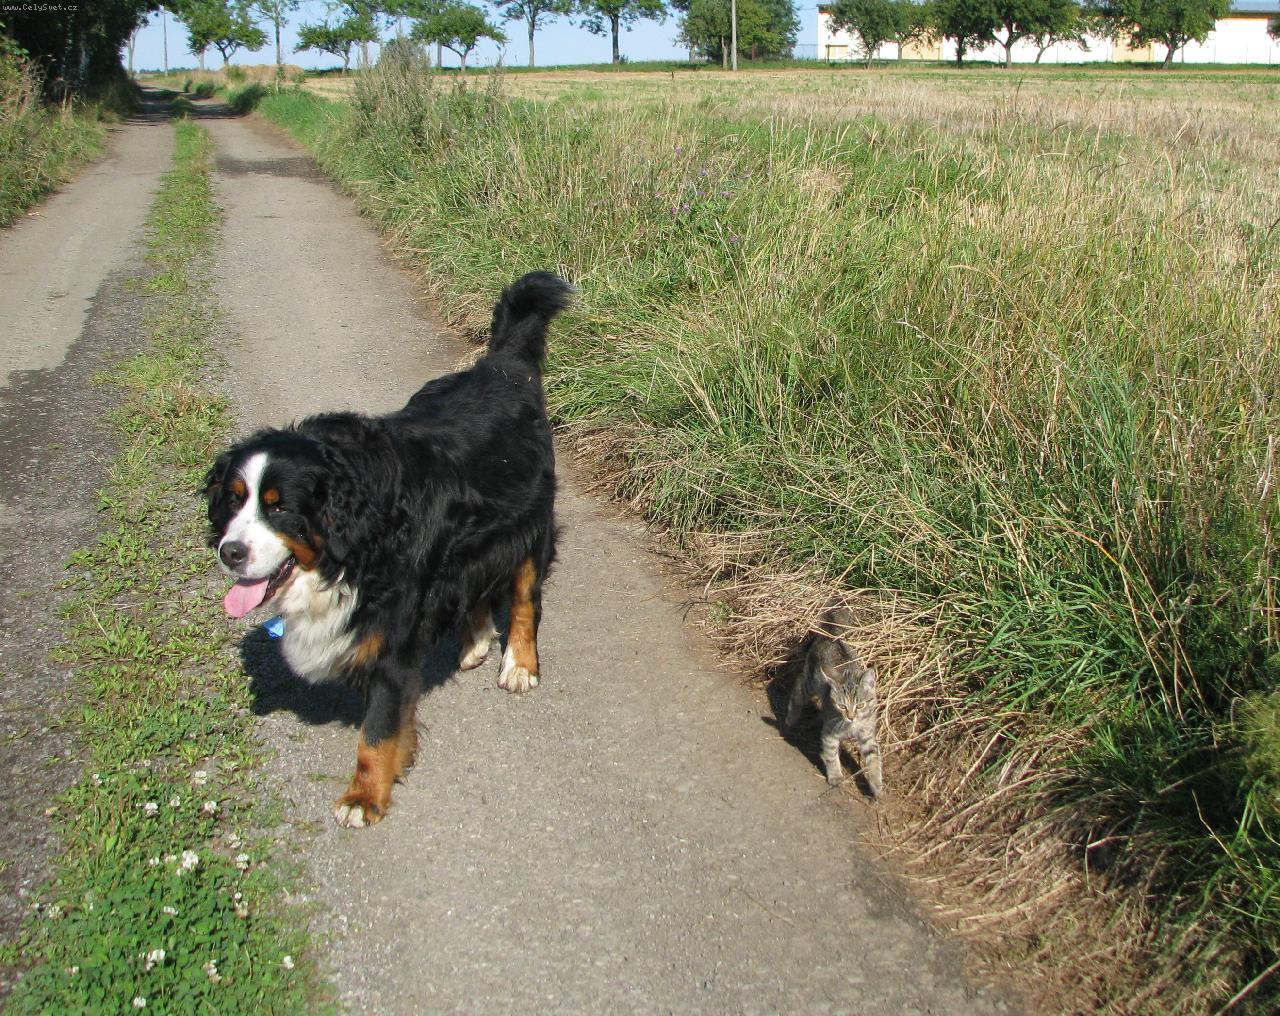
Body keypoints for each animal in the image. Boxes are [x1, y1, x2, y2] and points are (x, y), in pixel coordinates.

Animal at [204, 272, 571, 828]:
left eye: (279, 508)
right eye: (233, 499)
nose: (230, 552)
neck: (353, 546)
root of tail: (500, 367)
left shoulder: (393, 637)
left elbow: (376, 731)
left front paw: (363, 797)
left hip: (528, 525)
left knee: (526, 599)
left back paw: (520, 666)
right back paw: (474, 640)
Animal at [784, 606, 883, 798]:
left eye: (861, 705)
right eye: (842, 706)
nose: (851, 717)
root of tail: (830, 635)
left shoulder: (867, 733)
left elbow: (874, 758)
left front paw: (876, 784)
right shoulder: (830, 732)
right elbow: (831, 755)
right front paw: (836, 776)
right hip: (811, 682)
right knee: (798, 687)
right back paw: (791, 719)